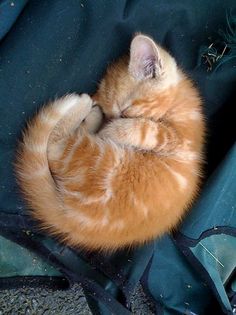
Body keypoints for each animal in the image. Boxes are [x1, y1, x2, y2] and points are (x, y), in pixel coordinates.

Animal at [15, 34, 206, 252]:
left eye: (124, 112)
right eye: (111, 114)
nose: (108, 121)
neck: (177, 102)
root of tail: (71, 219)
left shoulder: (180, 141)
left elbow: (146, 129)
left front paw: (111, 131)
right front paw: (103, 123)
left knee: (55, 144)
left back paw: (85, 106)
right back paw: (88, 110)